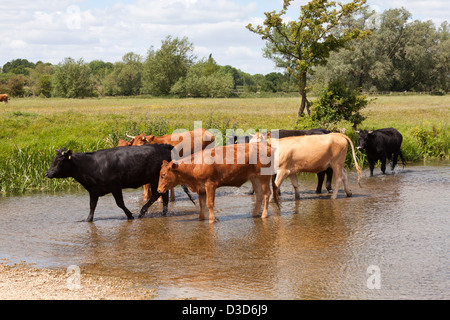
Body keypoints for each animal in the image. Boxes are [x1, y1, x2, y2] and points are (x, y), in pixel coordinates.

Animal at [45, 145, 175, 222]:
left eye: (60, 161)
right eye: (53, 160)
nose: (47, 173)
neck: (92, 165)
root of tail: (162, 146)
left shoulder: (115, 186)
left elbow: (120, 203)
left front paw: (130, 215)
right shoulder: (93, 190)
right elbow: (92, 206)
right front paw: (88, 220)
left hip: (155, 179)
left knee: (157, 195)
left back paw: (142, 211)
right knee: (164, 196)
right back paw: (164, 213)